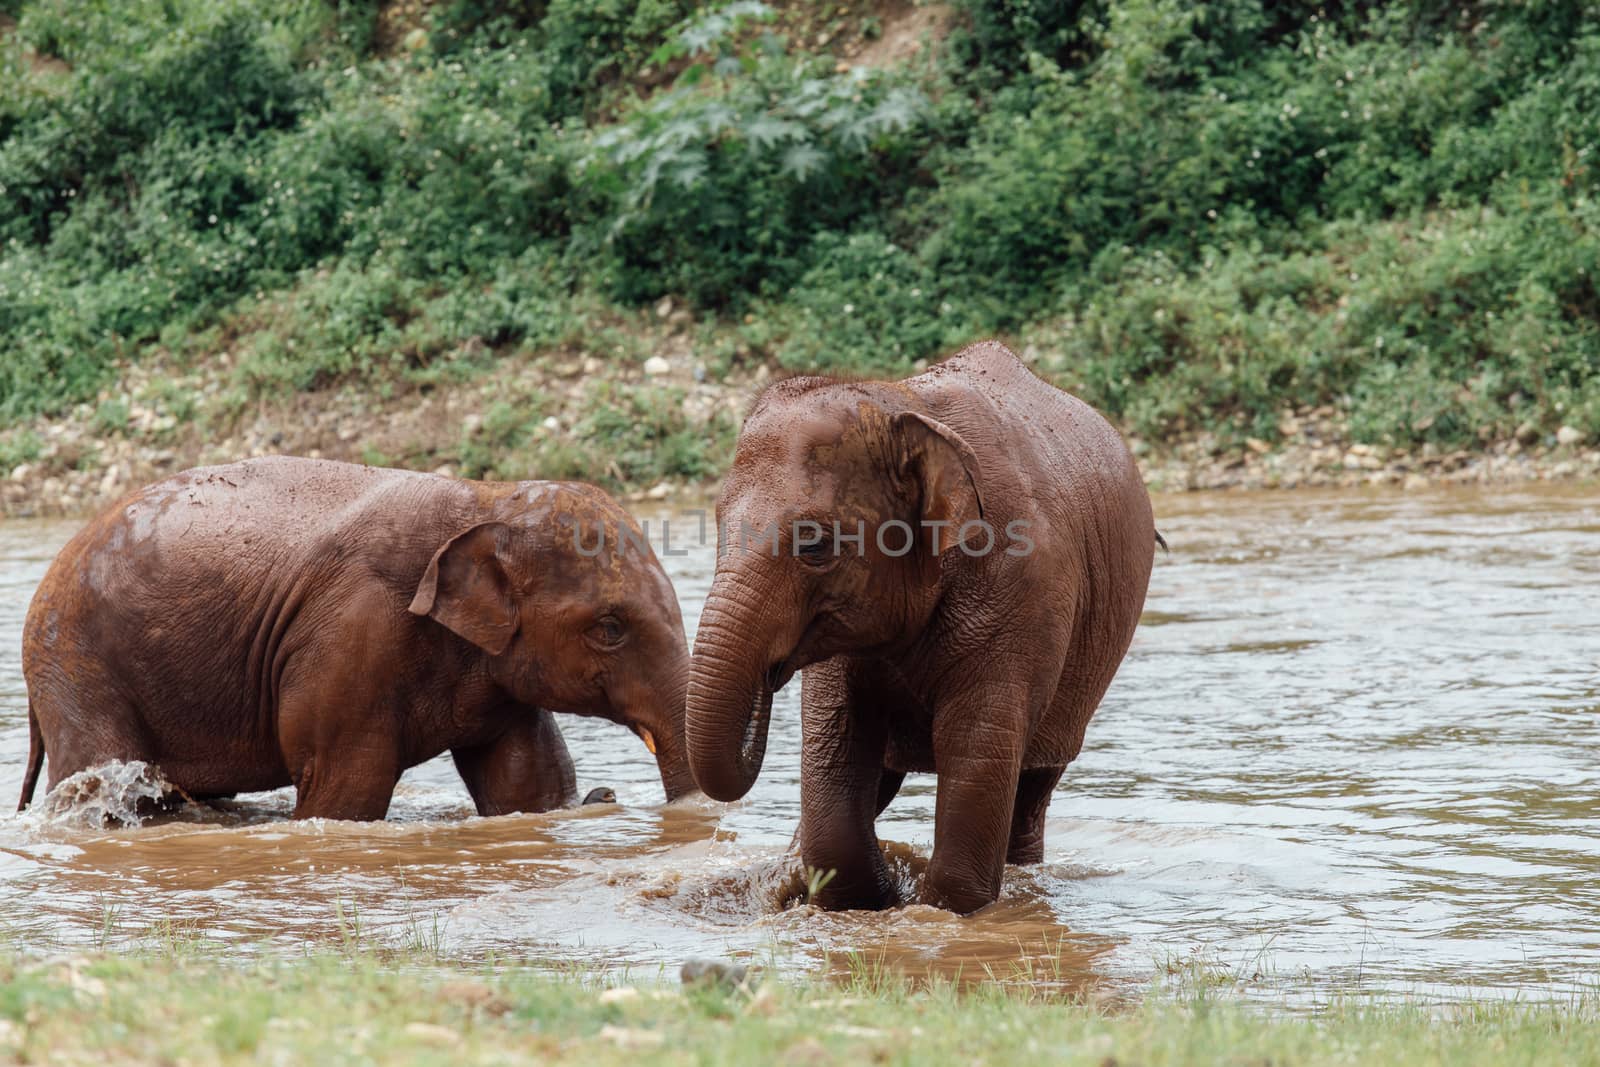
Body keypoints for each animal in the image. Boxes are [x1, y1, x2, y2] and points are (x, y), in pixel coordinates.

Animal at [17, 457, 694, 819]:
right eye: (610, 629)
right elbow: (346, 790)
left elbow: (525, 781)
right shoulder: (348, 637)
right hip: (74, 662)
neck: (487, 497)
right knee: (102, 781)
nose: (609, 796)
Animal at [681, 343, 1158, 921]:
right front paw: (869, 896)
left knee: (1031, 788)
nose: (767, 676)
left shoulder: (1025, 592)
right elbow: (837, 742)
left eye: (814, 545)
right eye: (718, 525)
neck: (903, 407)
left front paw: (931, 911)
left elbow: (975, 755)